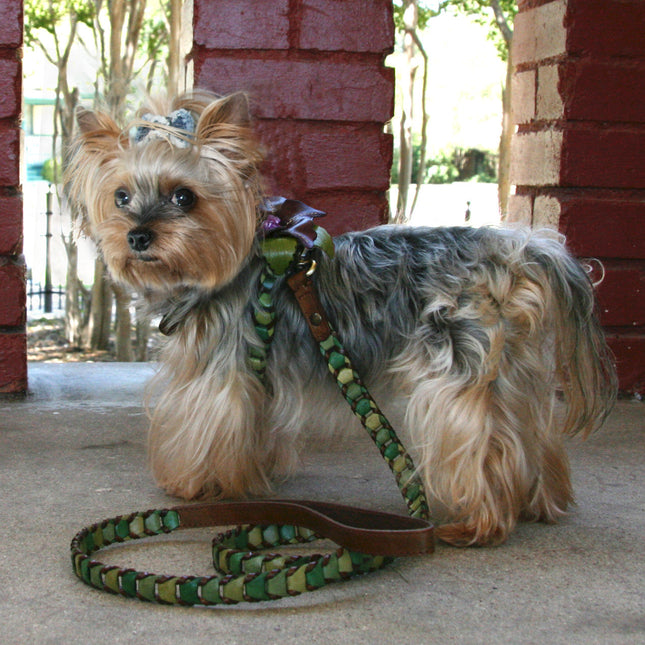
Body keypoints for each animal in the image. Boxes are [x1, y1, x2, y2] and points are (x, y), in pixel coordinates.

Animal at [65, 90, 612, 544]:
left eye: (184, 196)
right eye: (120, 197)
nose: (137, 236)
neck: (223, 271)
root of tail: (517, 251)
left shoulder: (220, 373)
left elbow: (208, 426)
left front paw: (196, 487)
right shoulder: (259, 377)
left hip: (453, 365)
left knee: (479, 441)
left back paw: (478, 523)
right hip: (512, 369)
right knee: (526, 432)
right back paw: (538, 503)